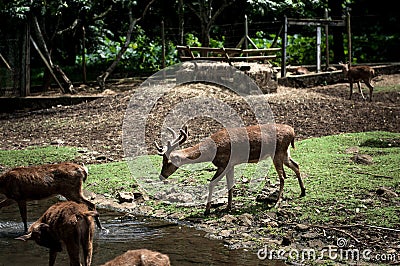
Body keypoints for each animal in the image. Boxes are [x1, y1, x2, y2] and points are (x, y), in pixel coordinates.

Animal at [155, 123, 304, 215]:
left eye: (168, 162)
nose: (161, 176)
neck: (211, 151)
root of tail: (292, 132)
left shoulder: (224, 163)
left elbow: (212, 183)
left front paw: (207, 210)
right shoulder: (231, 165)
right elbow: (230, 185)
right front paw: (228, 207)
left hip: (278, 152)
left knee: (283, 176)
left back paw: (277, 203)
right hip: (285, 152)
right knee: (296, 165)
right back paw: (303, 192)